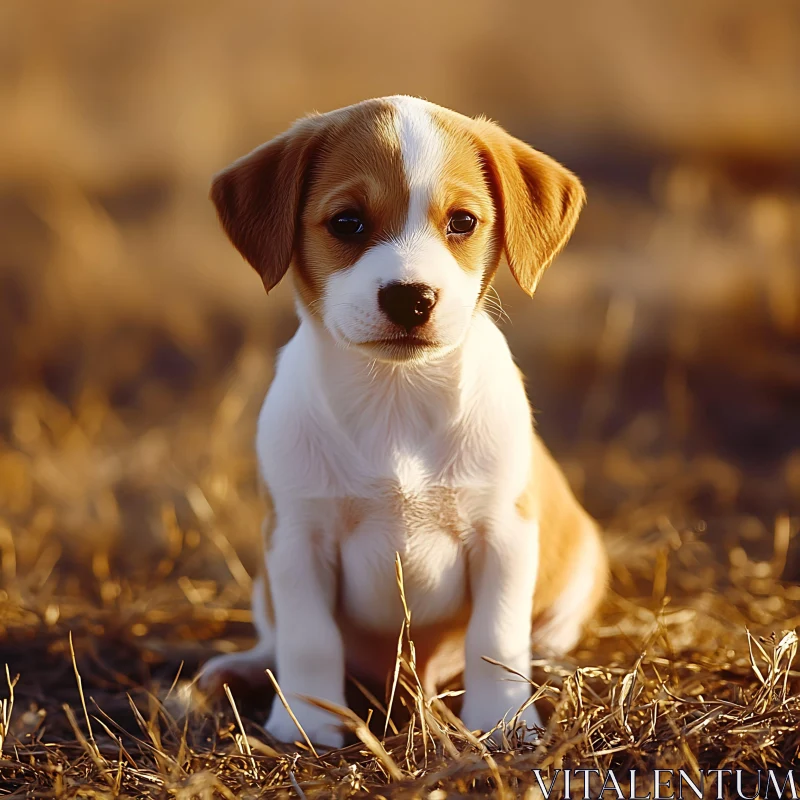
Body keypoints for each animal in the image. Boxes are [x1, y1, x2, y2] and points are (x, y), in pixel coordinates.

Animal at [198, 97, 608, 748]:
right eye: (347, 223)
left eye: (462, 222)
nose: (411, 297)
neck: (396, 398)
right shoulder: (296, 539)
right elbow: (309, 640)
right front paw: (307, 724)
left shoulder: (504, 534)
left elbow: (496, 639)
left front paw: (502, 724)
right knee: (275, 639)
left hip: (580, 568)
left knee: (536, 642)